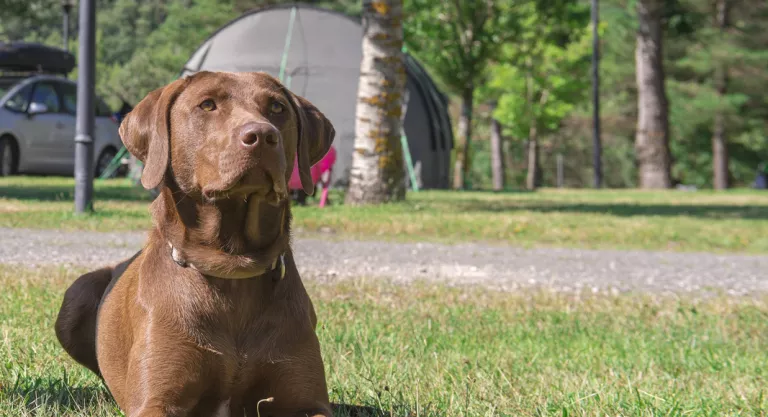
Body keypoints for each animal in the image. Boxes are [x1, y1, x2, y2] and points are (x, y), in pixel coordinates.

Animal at [55, 72, 338, 416]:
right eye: (207, 105)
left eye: (277, 107)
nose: (262, 135)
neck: (232, 268)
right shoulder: (156, 400)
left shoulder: (308, 400)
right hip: (76, 294)